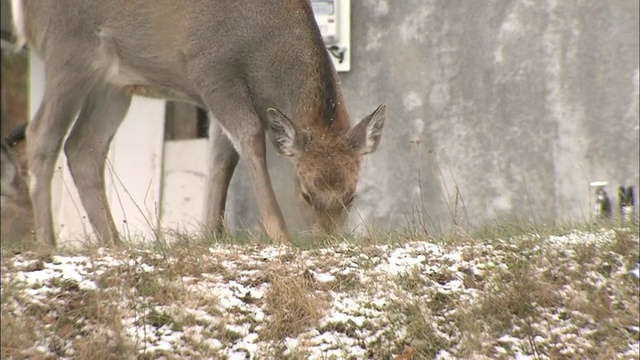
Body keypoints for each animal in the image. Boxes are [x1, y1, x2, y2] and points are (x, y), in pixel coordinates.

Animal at [12, 0, 384, 248]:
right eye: (305, 193)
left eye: (352, 195)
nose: (327, 241)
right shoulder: (210, 69)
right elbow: (249, 138)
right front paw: (279, 234)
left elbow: (221, 160)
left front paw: (211, 234)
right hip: (68, 49)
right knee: (41, 135)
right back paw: (47, 243)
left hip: (114, 84)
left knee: (82, 147)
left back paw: (115, 243)